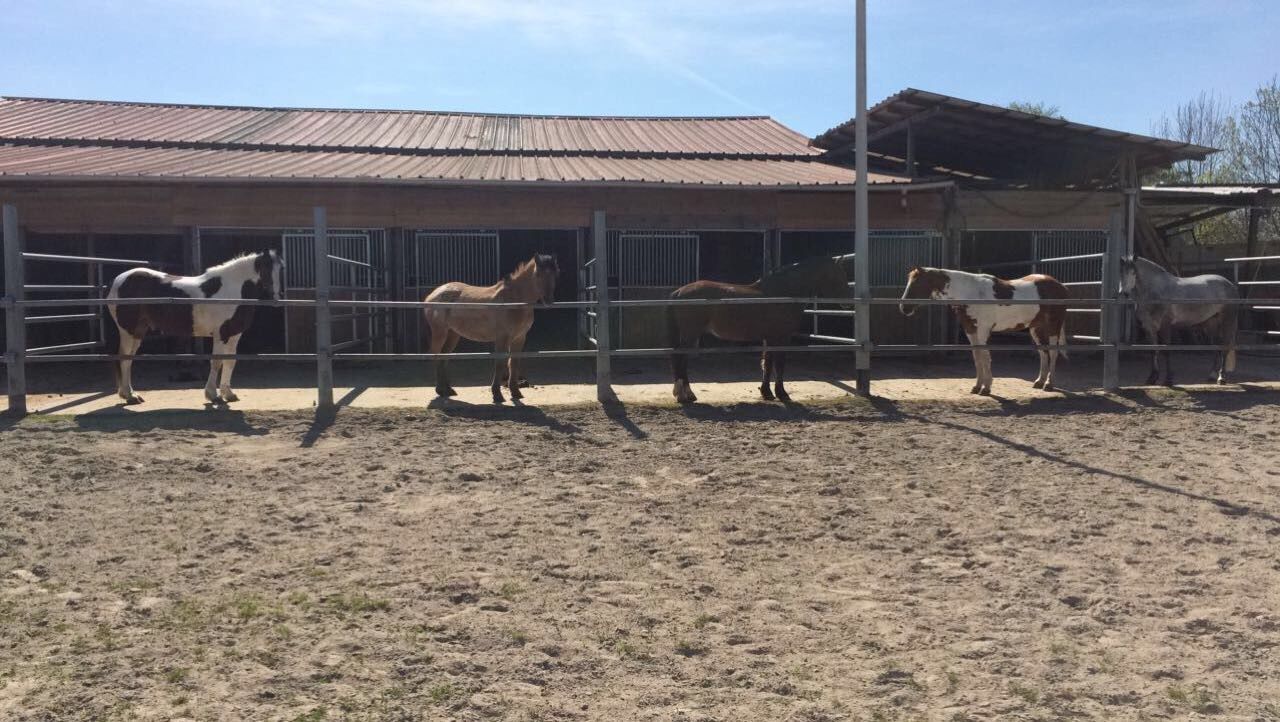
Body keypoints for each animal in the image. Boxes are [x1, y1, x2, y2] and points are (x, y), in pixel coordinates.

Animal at [108, 250, 285, 404]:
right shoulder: (220, 334)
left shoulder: (234, 335)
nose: (276, 298)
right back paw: (130, 397)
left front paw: (228, 394)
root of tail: (118, 281)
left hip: (138, 332)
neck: (232, 289)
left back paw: (130, 394)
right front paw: (213, 395)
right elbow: (217, 362)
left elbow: (230, 361)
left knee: (129, 359)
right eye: (265, 268)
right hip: (127, 331)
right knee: (124, 358)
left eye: (281, 269)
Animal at [670, 256, 849, 404]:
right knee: (681, 359)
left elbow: (767, 363)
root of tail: (679, 292)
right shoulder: (782, 337)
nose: (847, 301)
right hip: (690, 334)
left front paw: (767, 393)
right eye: (838, 276)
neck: (782, 293)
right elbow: (779, 364)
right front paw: (782, 394)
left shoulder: (769, 337)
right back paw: (686, 395)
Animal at [901, 267, 1070, 394]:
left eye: (917, 283)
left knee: (1053, 352)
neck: (970, 293)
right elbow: (977, 357)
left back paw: (1049, 384)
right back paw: (1039, 382)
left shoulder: (983, 329)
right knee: (1043, 353)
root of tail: (1060, 286)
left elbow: (984, 356)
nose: (904, 308)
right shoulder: (970, 330)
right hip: (1036, 328)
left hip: (1053, 326)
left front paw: (986, 388)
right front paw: (977, 386)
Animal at [1126, 256, 1233, 386]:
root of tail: (1229, 283)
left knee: (1225, 347)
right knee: (1216, 346)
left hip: (1227, 321)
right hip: (1211, 323)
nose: (1124, 293)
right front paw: (1152, 378)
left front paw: (1168, 379)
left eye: (1133, 272)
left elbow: (1166, 351)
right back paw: (1212, 375)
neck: (1156, 290)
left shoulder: (1165, 326)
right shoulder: (1149, 327)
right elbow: (1153, 350)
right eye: (1121, 271)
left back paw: (1221, 378)